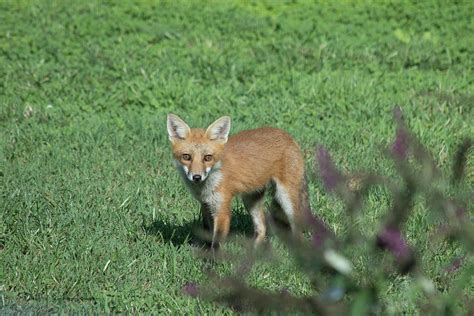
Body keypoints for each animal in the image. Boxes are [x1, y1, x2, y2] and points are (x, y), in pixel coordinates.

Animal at [167, 113, 308, 249]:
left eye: (207, 157)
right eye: (186, 157)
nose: (197, 177)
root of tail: (287, 135)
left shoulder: (222, 210)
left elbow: (216, 244)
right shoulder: (206, 204)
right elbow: (207, 235)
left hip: (285, 198)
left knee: (298, 231)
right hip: (251, 201)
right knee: (262, 228)